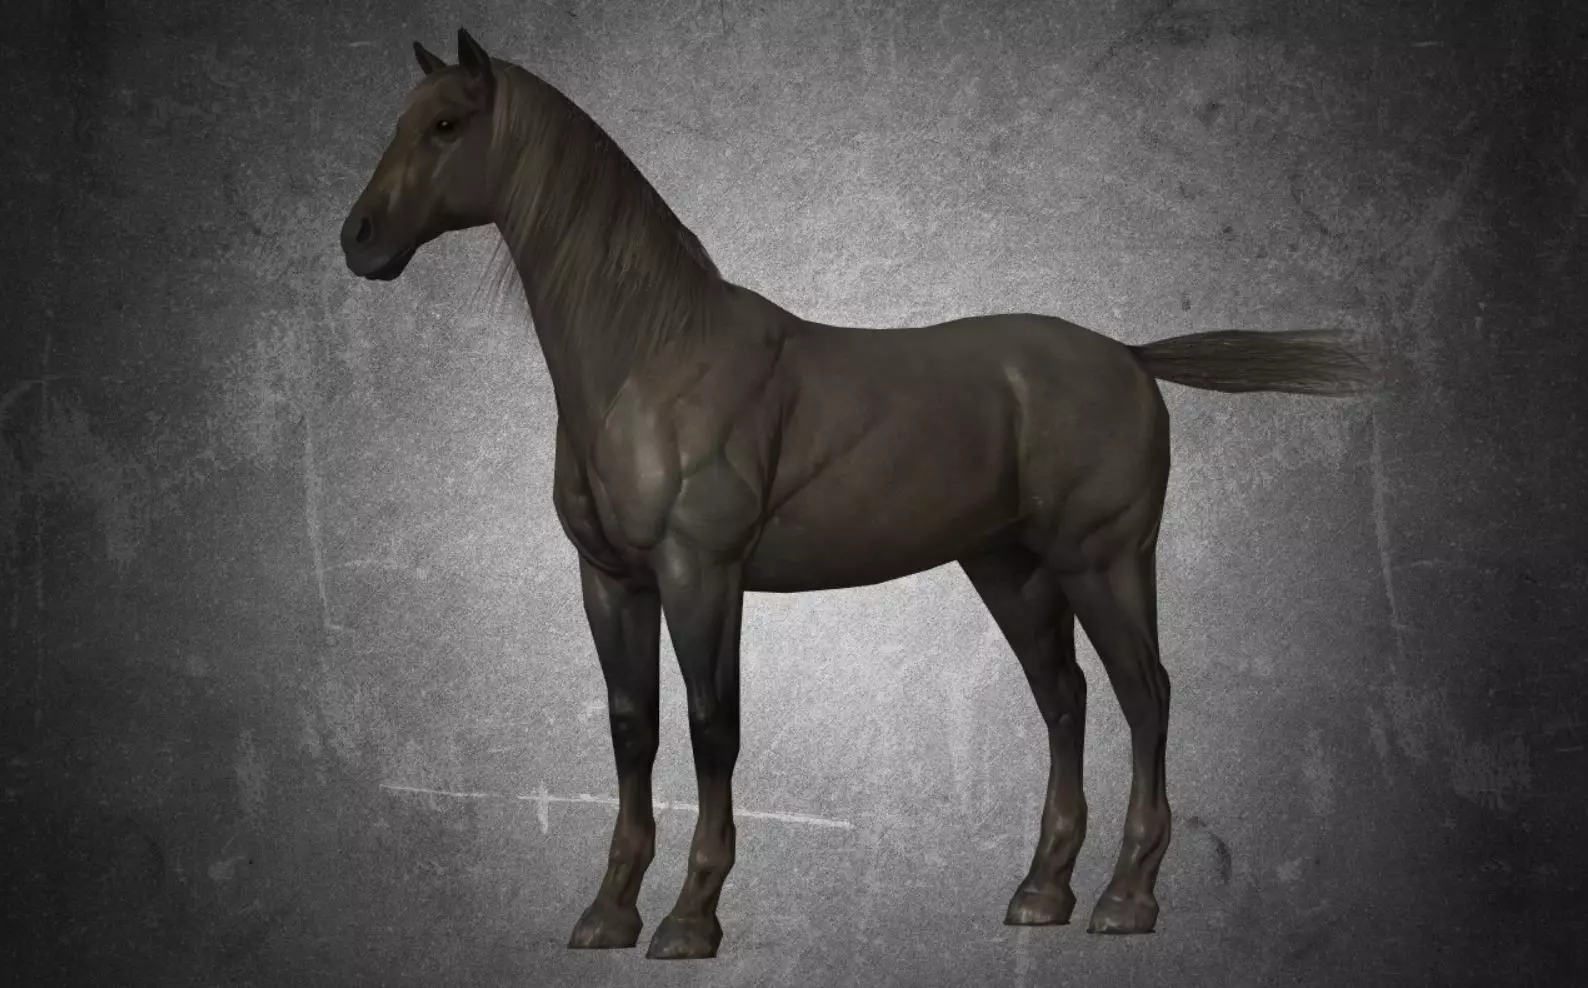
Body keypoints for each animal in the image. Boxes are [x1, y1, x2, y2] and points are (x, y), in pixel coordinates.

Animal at [340, 29, 1372, 960]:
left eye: (445, 125)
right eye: (399, 121)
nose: (359, 241)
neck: (651, 359)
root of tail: (1129, 354)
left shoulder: (700, 572)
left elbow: (713, 728)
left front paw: (690, 920)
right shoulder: (610, 578)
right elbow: (633, 729)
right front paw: (607, 915)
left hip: (1104, 561)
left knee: (1144, 695)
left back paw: (1127, 899)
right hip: (1011, 568)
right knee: (1065, 698)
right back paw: (1042, 893)